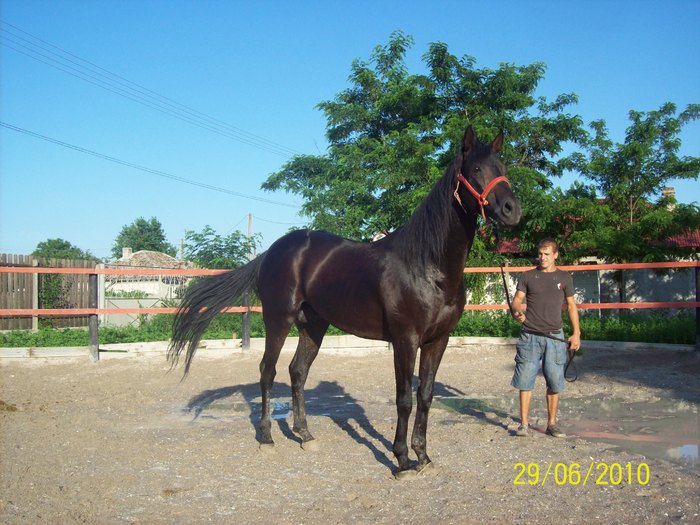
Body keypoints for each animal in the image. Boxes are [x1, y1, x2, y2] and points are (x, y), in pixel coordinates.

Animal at [168, 127, 520, 474]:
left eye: (502, 167)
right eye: (476, 169)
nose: (511, 209)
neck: (427, 266)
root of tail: (271, 252)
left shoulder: (438, 340)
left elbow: (426, 396)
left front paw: (423, 456)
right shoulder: (405, 340)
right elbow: (404, 399)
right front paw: (402, 459)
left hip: (313, 324)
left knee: (297, 371)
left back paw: (305, 435)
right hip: (278, 319)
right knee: (268, 371)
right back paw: (267, 438)